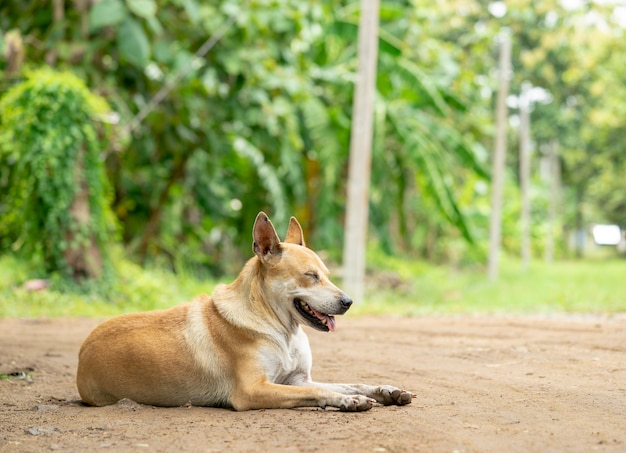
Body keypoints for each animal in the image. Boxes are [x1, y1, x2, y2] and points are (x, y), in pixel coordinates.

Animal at [75, 211, 412, 410]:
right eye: (310, 276)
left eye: (327, 274)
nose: (348, 302)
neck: (282, 332)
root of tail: (82, 352)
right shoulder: (253, 390)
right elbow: (322, 392)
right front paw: (347, 400)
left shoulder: (298, 379)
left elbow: (350, 380)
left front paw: (383, 390)